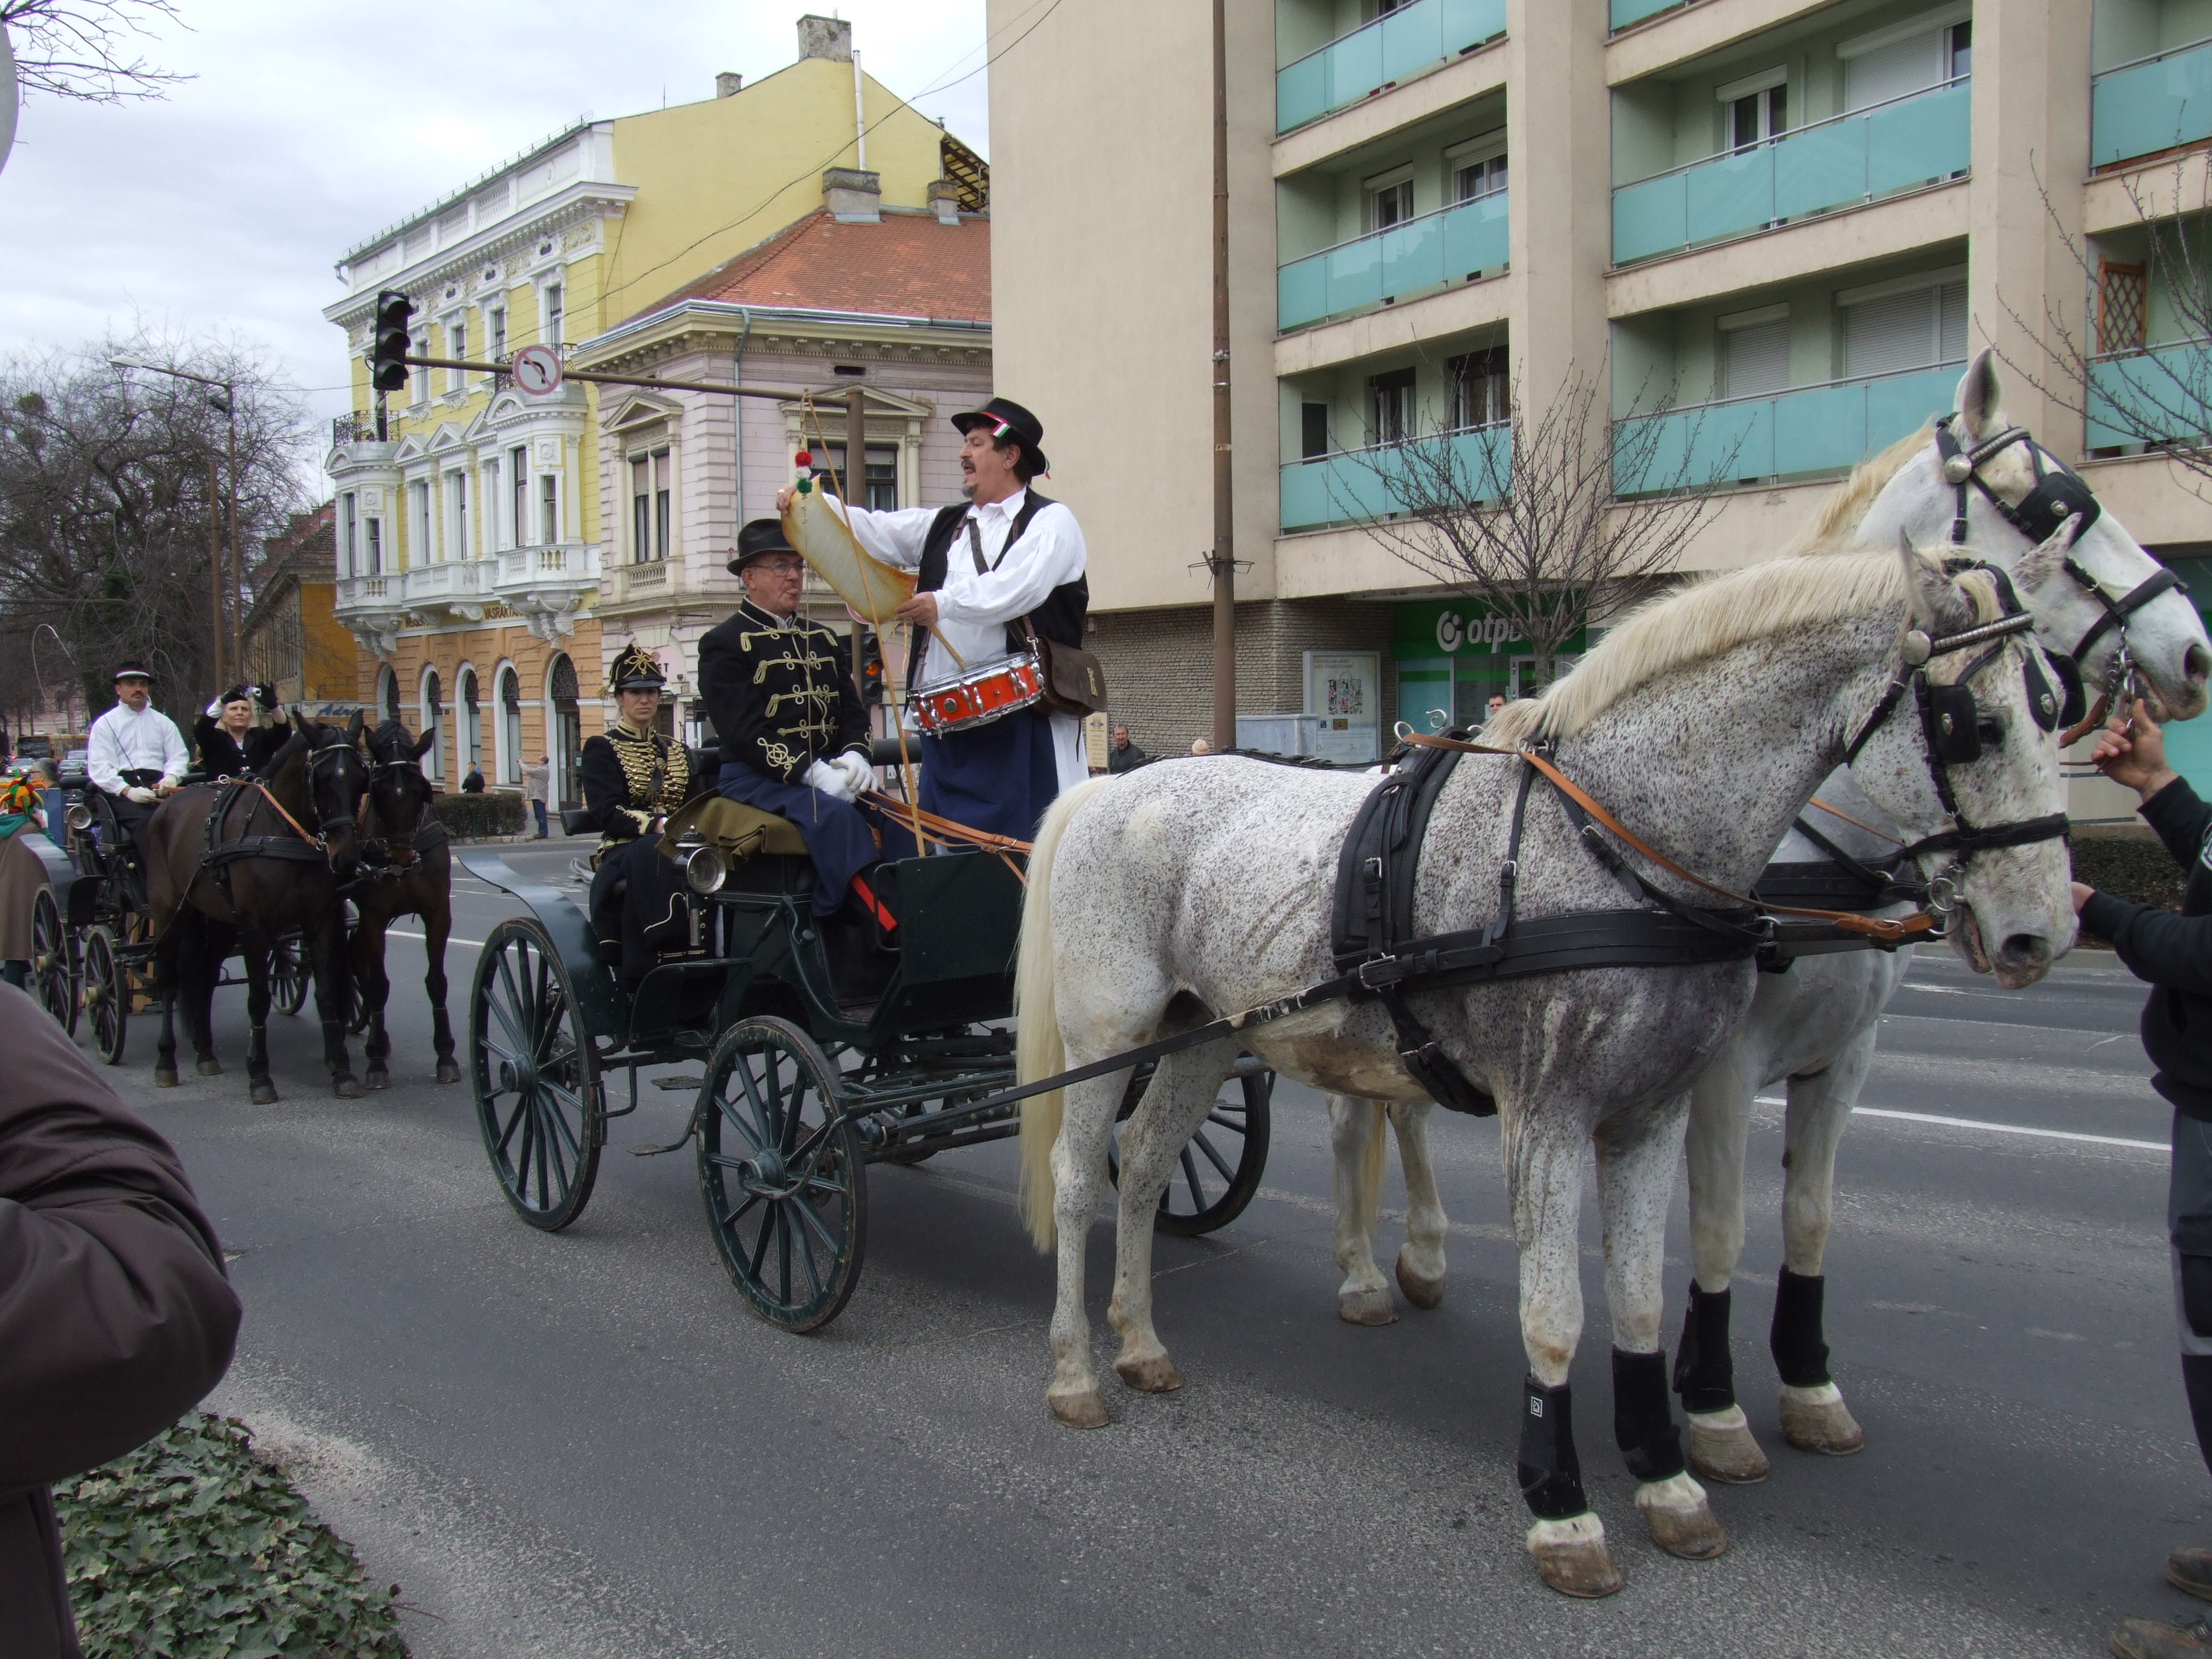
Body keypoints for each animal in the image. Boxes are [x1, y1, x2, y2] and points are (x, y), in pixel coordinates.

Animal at [143, 712, 368, 1104]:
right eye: (322, 778)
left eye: (360, 775)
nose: (346, 857)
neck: (282, 833)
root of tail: (166, 804)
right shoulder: (254, 927)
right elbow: (259, 997)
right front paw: (260, 1075)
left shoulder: (320, 920)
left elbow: (326, 992)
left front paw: (341, 1070)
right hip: (171, 912)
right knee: (169, 979)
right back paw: (166, 1061)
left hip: (218, 922)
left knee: (204, 975)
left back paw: (205, 1051)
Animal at [347, 719, 459, 1089]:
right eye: (378, 790)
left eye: (419, 790)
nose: (401, 857)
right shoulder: (373, 917)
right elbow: (379, 985)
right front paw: (376, 1062)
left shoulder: (438, 913)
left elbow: (437, 982)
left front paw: (446, 1055)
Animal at [1013, 538, 2076, 1596]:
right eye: (1977, 724)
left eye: (2058, 702)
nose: (2043, 931)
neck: (1614, 845)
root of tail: (1114, 784)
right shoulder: (1551, 1117)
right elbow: (1556, 1312)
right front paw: (1562, 1506)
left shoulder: (1655, 1114)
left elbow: (1642, 1299)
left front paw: (1668, 1478)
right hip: (1111, 1036)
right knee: (1079, 1179)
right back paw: (1075, 1370)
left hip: (1202, 1036)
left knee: (1149, 1167)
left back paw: (1141, 1340)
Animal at [1328, 349, 2212, 1483]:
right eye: (2054, 508)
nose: (2192, 654)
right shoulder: (1721, 1068)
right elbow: (1718, 1228)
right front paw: (1710, 1406)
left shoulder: (1845, 1055)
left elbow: (1808, 1217)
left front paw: (1806, 1382)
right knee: (1360, 1112)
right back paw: (1364, 1271)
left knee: (1397, 1106)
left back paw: (1423, 1254)